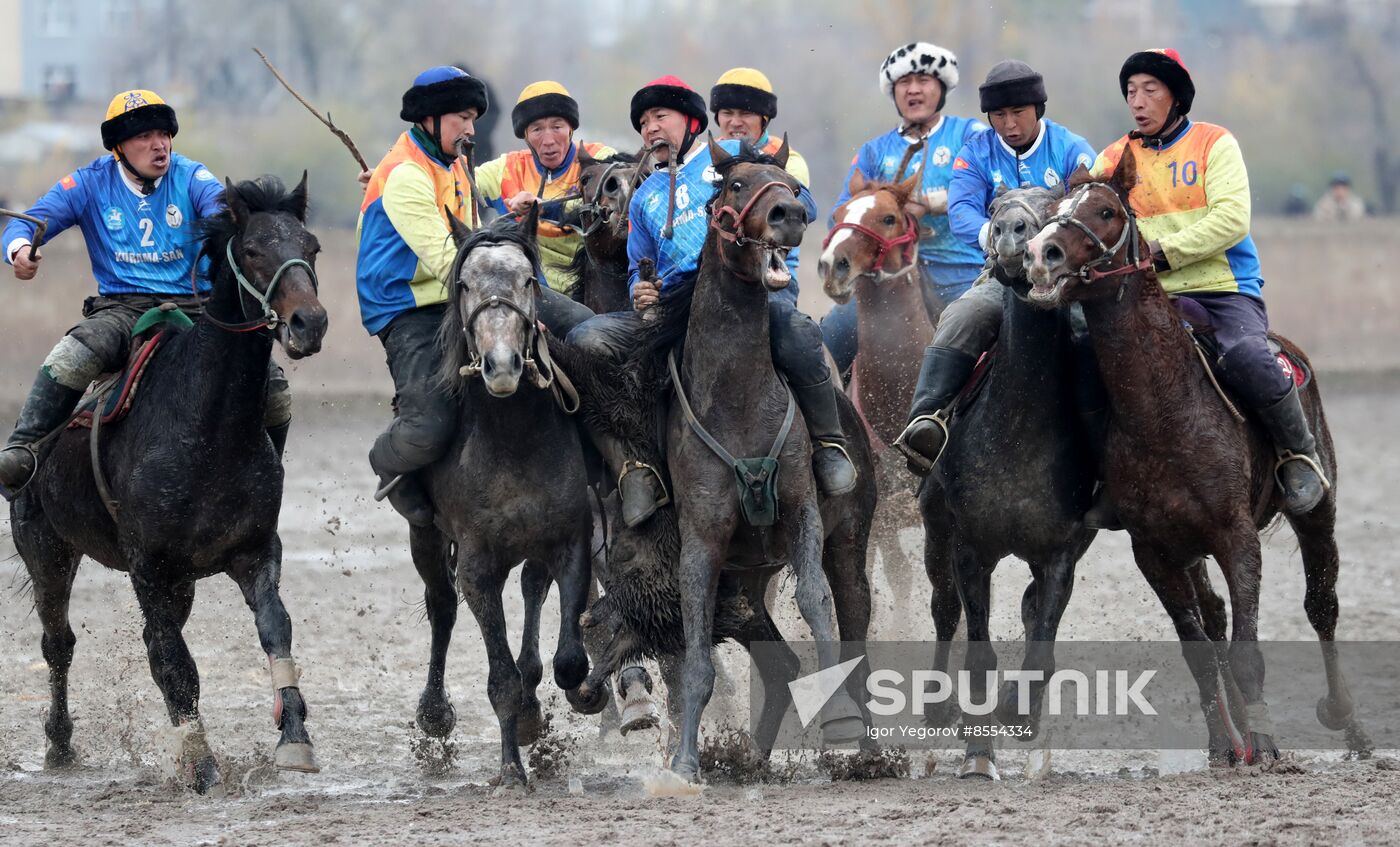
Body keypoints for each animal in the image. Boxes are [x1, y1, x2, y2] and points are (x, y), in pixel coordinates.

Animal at [11, 173, 327, 795]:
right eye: (252, 250)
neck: (207, 430)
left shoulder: (255, 551)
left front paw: (294, 738)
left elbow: (275, 628)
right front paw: (201, 764)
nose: (310, 323)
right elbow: (175, 665)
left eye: (312, 245)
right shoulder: (148, 566)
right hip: (47, 551)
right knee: (59, 644)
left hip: (179, 582)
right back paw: (59, 744)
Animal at [408, 208, 596, 789]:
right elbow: (500, 677)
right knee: (441, 606)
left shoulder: (571, 542)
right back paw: (434, 712)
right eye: (465, 284)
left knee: (533, 591)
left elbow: (568, 662)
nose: (503, 365)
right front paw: (511, 767)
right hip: (425, 537)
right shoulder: (477, 566)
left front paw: (557, 707)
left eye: (529, 280)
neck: (514, 441)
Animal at [1030, 150, 1366, 761]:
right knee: (1214, 617)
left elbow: (1247, 649)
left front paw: (1266, 743)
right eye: (1054, 210)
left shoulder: (1237, 538)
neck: (1164, 409)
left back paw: (1348, 724)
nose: (1041, 255)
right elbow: (1199, 649)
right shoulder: (1155, 550)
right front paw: (1225, 745)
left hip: (1317, 511)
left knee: (1321, 604)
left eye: (1106, 210)